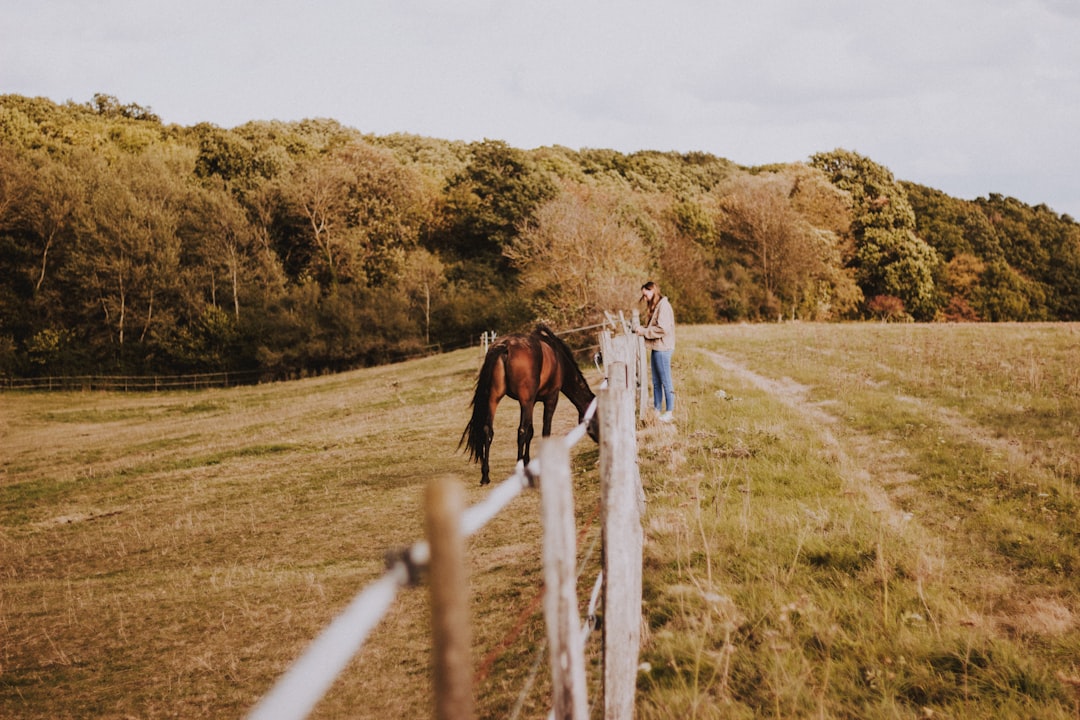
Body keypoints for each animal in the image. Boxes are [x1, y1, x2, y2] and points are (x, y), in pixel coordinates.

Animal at [462, 325, 604, 483]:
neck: (558, 358)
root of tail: (505, 346)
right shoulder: (550, 398)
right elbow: (543, 431)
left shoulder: (532, 401)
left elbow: (531, 431)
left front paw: (527, 463)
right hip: (524, 401)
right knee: (521, 431)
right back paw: (517, 470)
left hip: (494, 398)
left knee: (488, 430)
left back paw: (485, 475)